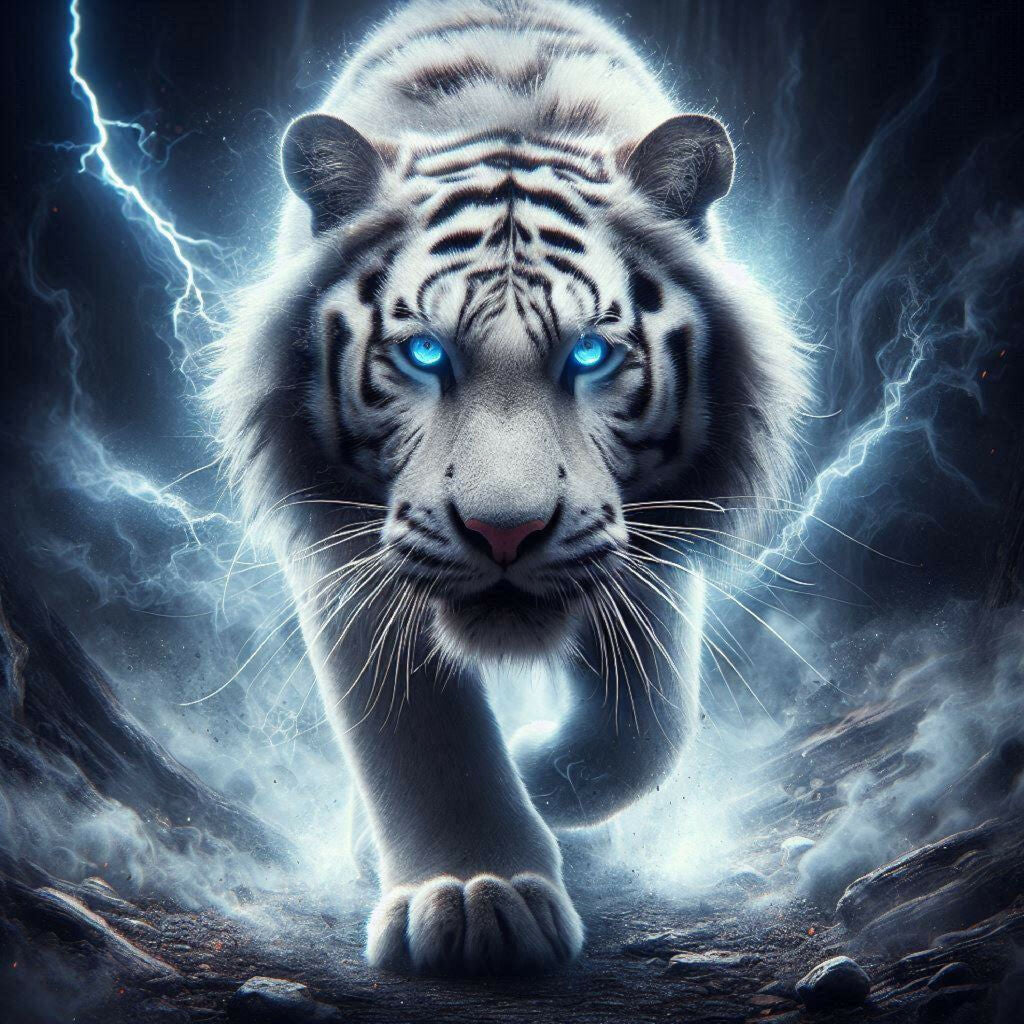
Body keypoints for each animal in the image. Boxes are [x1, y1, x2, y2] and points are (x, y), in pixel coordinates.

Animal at [211, 0, 808, 975]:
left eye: (591, 354)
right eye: (424, 353)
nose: (503, 533)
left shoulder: (651, 543)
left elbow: (645, 728)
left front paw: (540, 785)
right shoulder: (347, 552)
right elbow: (421, 733)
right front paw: (474, 893)